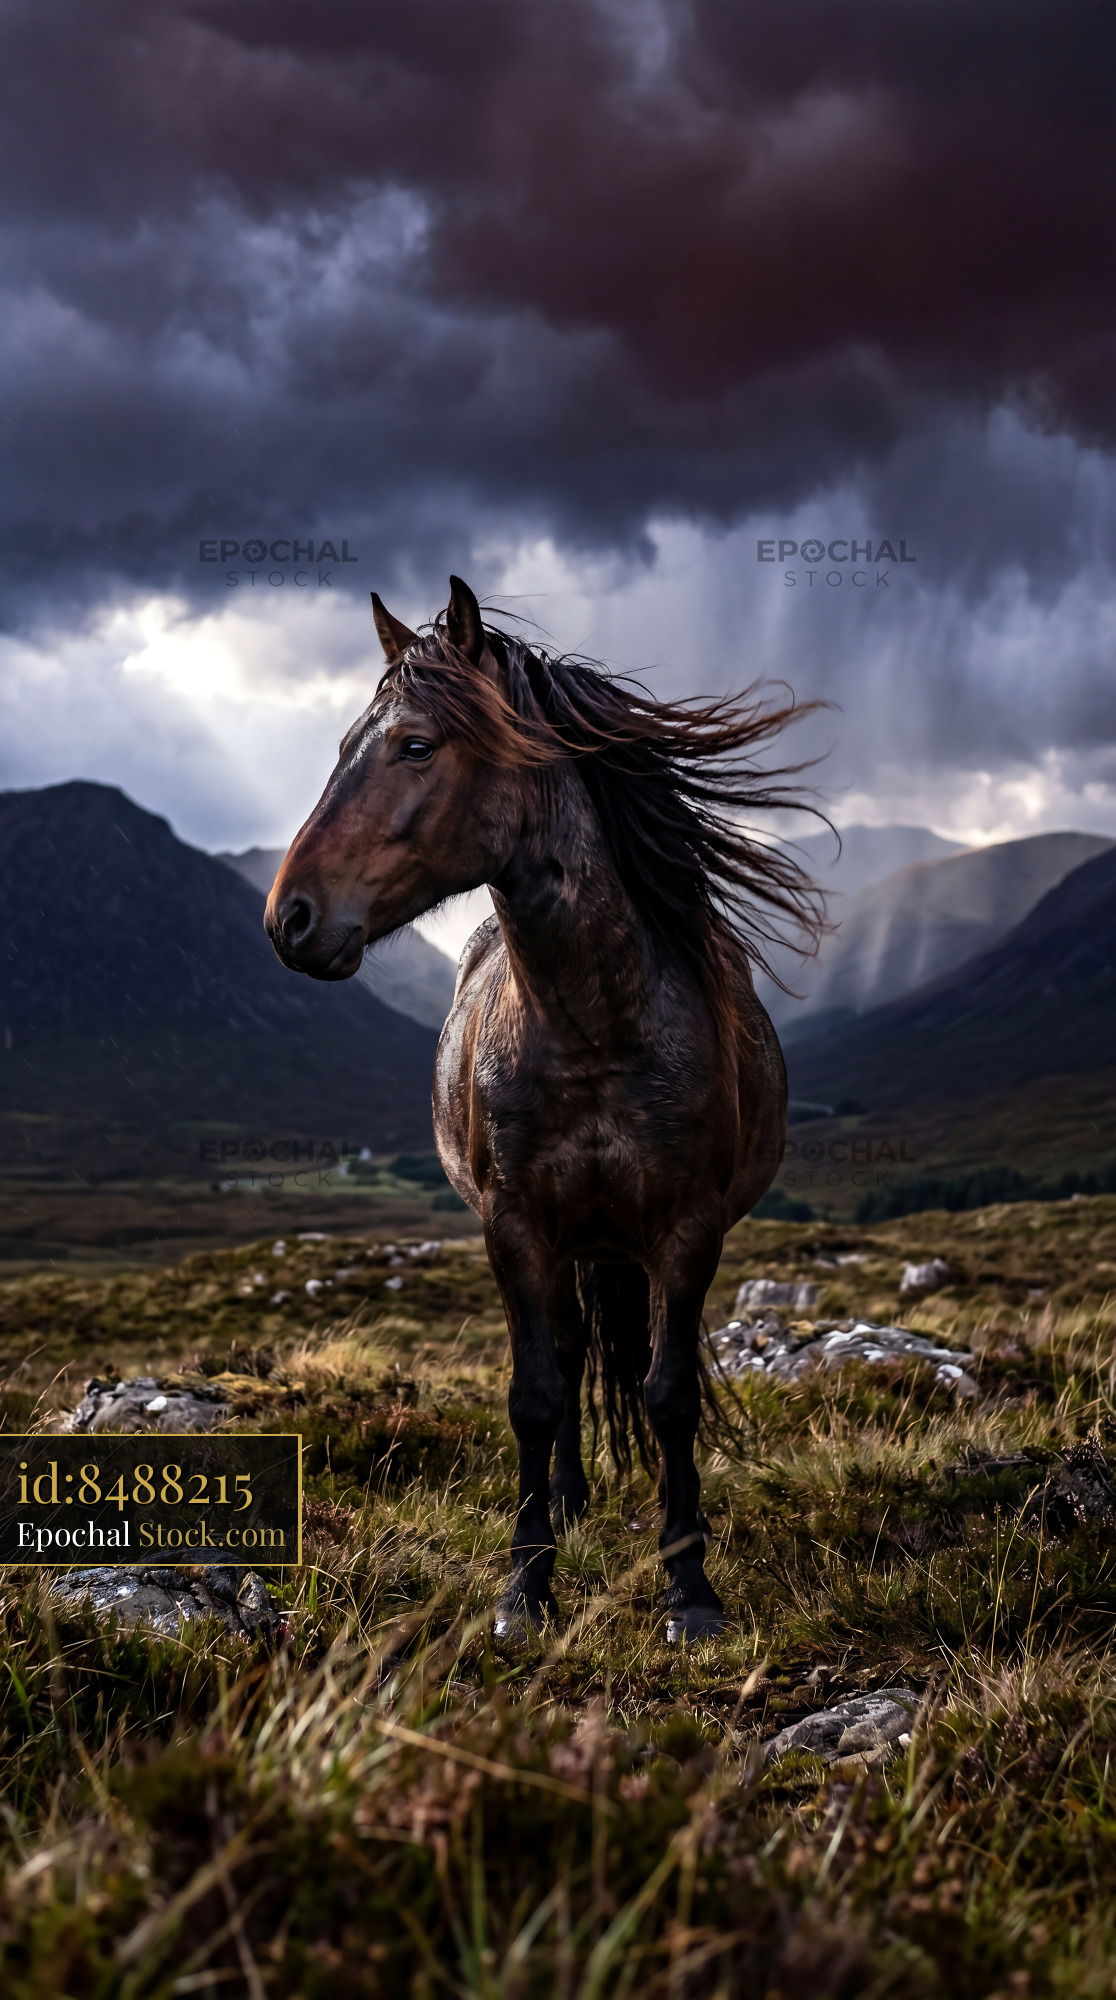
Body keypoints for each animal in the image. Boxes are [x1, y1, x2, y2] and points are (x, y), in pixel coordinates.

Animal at [265, 577, 823, 1641]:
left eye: (415, 746)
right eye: (344, 743)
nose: (289, 919)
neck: (595, 1027)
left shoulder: (687, 1231)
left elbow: (669, 1395)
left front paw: (690, 1586)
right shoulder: (515, 1226)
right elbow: (535, 1392)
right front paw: (526, 1585)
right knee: (564, 1355)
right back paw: (564, 1500)